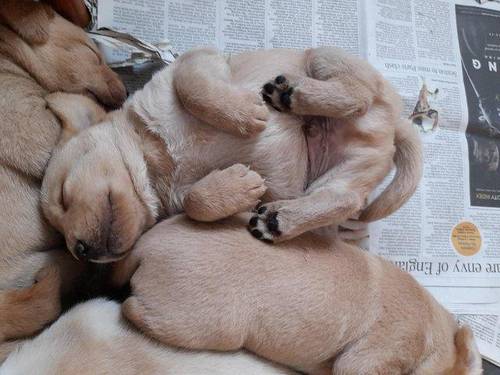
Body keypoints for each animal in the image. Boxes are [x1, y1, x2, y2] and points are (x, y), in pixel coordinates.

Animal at [42, 47, 422, 262]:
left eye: (63, 197)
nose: (80, 253)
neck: (156, 162)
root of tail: (394, 126)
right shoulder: (178, 199)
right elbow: (194, 202)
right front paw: (239, 186)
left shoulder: (196, 60)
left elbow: (194, 89)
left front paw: (242, 116)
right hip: (345, 172)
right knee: (341, 198)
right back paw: (278, 220)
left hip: (325, 56)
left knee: (359, 93)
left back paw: (292, 95)